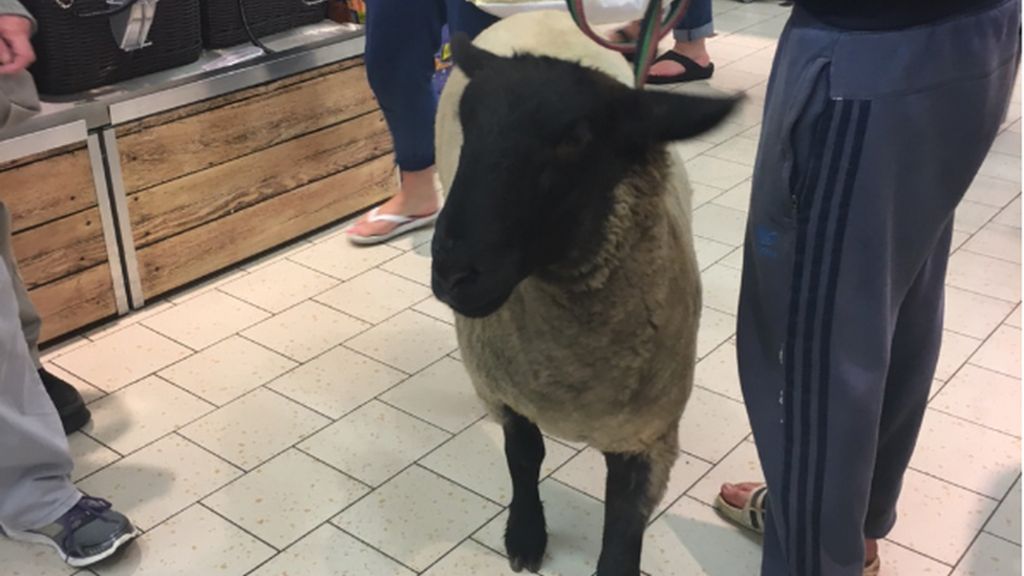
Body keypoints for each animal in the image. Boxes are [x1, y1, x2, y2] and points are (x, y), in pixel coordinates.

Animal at [430, 11, 739, 576]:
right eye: (468, 123)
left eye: (575, 138)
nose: (453, 274)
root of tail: (540, 10)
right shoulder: (505, 393)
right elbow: (524, 458)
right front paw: (526, 533)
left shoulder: (647, 436)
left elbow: (621, 532)